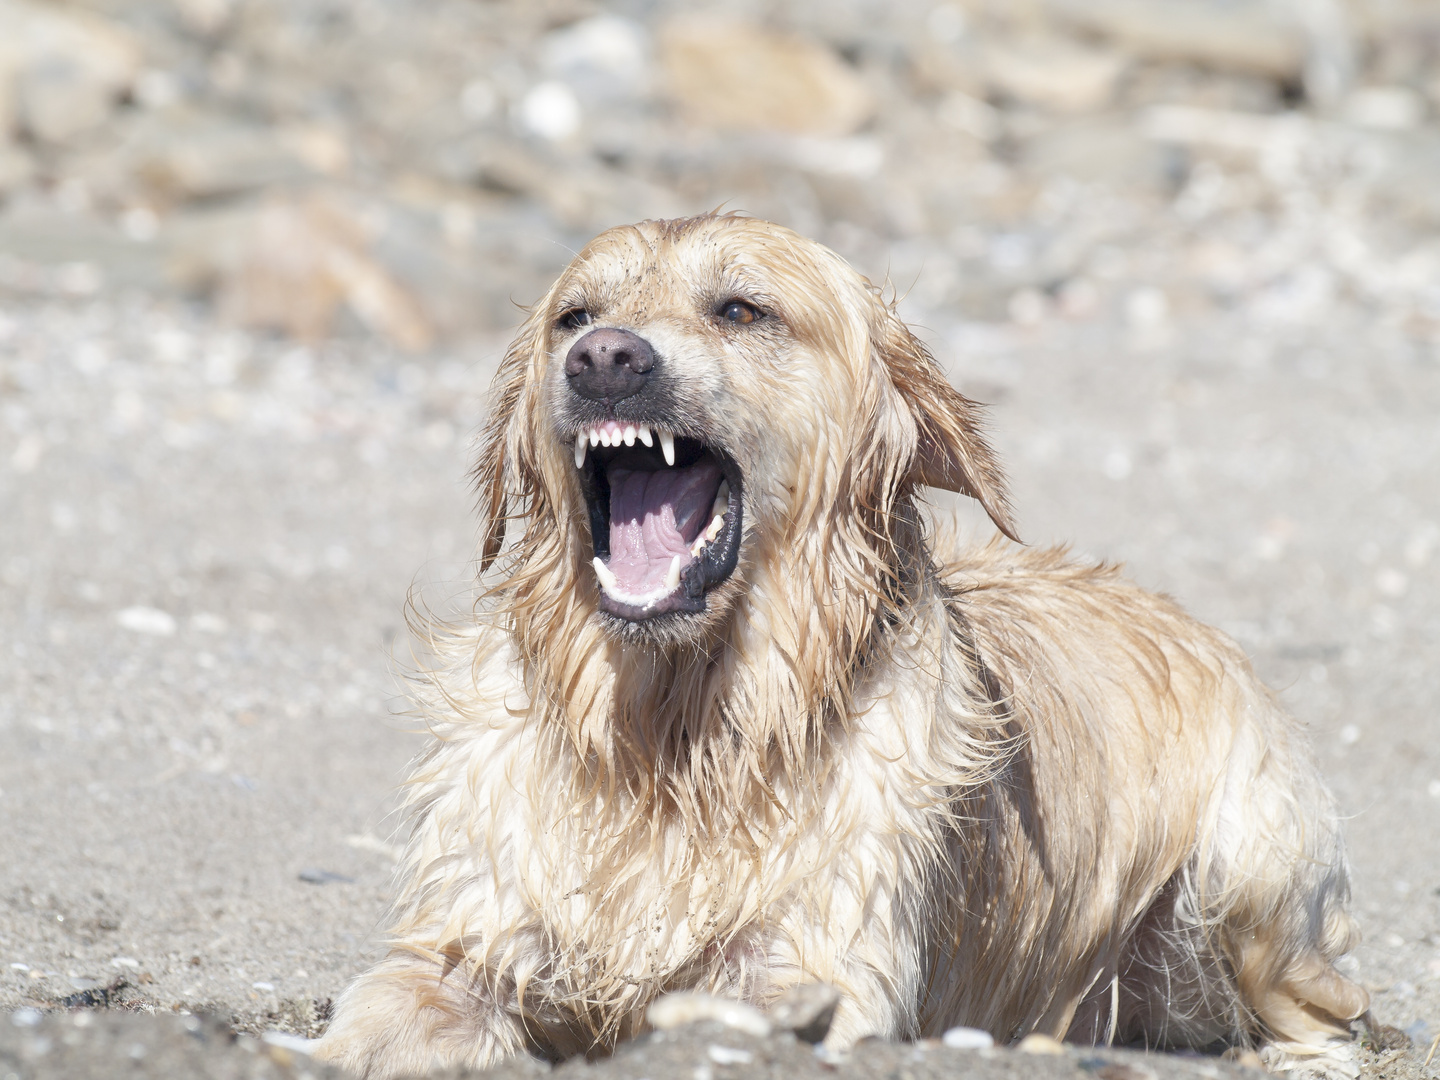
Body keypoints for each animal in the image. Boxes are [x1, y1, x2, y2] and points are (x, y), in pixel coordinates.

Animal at [312, 216, 1359, 1077]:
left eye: (741, 309)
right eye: (575, 316)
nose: (603, 358)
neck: (677, 735)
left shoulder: (815, 962)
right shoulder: (465, 938)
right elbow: (390, 1007)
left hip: (1251, 859)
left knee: (1325, 1012)